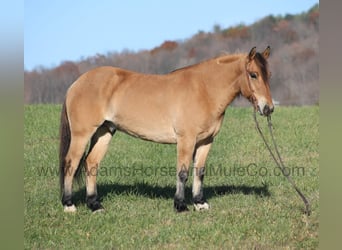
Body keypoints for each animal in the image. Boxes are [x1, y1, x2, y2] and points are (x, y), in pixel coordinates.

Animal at [58, 46, 272, 212]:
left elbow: (199, 171)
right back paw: (69, 204)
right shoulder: (186, 139)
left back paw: (95, 205)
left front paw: (199, 203)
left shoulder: (206, 141)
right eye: (253, 75)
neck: (204, 90)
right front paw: (180, 205)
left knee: (91, 163)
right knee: (71, 163)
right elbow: (183, 172)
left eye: (268, 75)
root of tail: (76, 83)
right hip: (82, 134)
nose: (268, 108)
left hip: (104, 132)